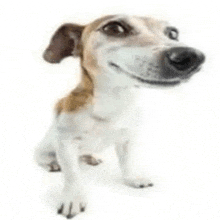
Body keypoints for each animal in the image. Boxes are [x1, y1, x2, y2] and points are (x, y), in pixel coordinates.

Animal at [34, 14, 205, 218]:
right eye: (114, 28)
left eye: (173, 33)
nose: (192, 56)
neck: (114, 103)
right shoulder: (66, 144)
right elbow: (72, 175)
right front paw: (73, 198)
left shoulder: (126, 140)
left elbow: (127, 163)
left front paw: (133, 179)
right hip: (44, 150)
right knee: (47, 160)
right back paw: (52, 164)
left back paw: (90, 157)